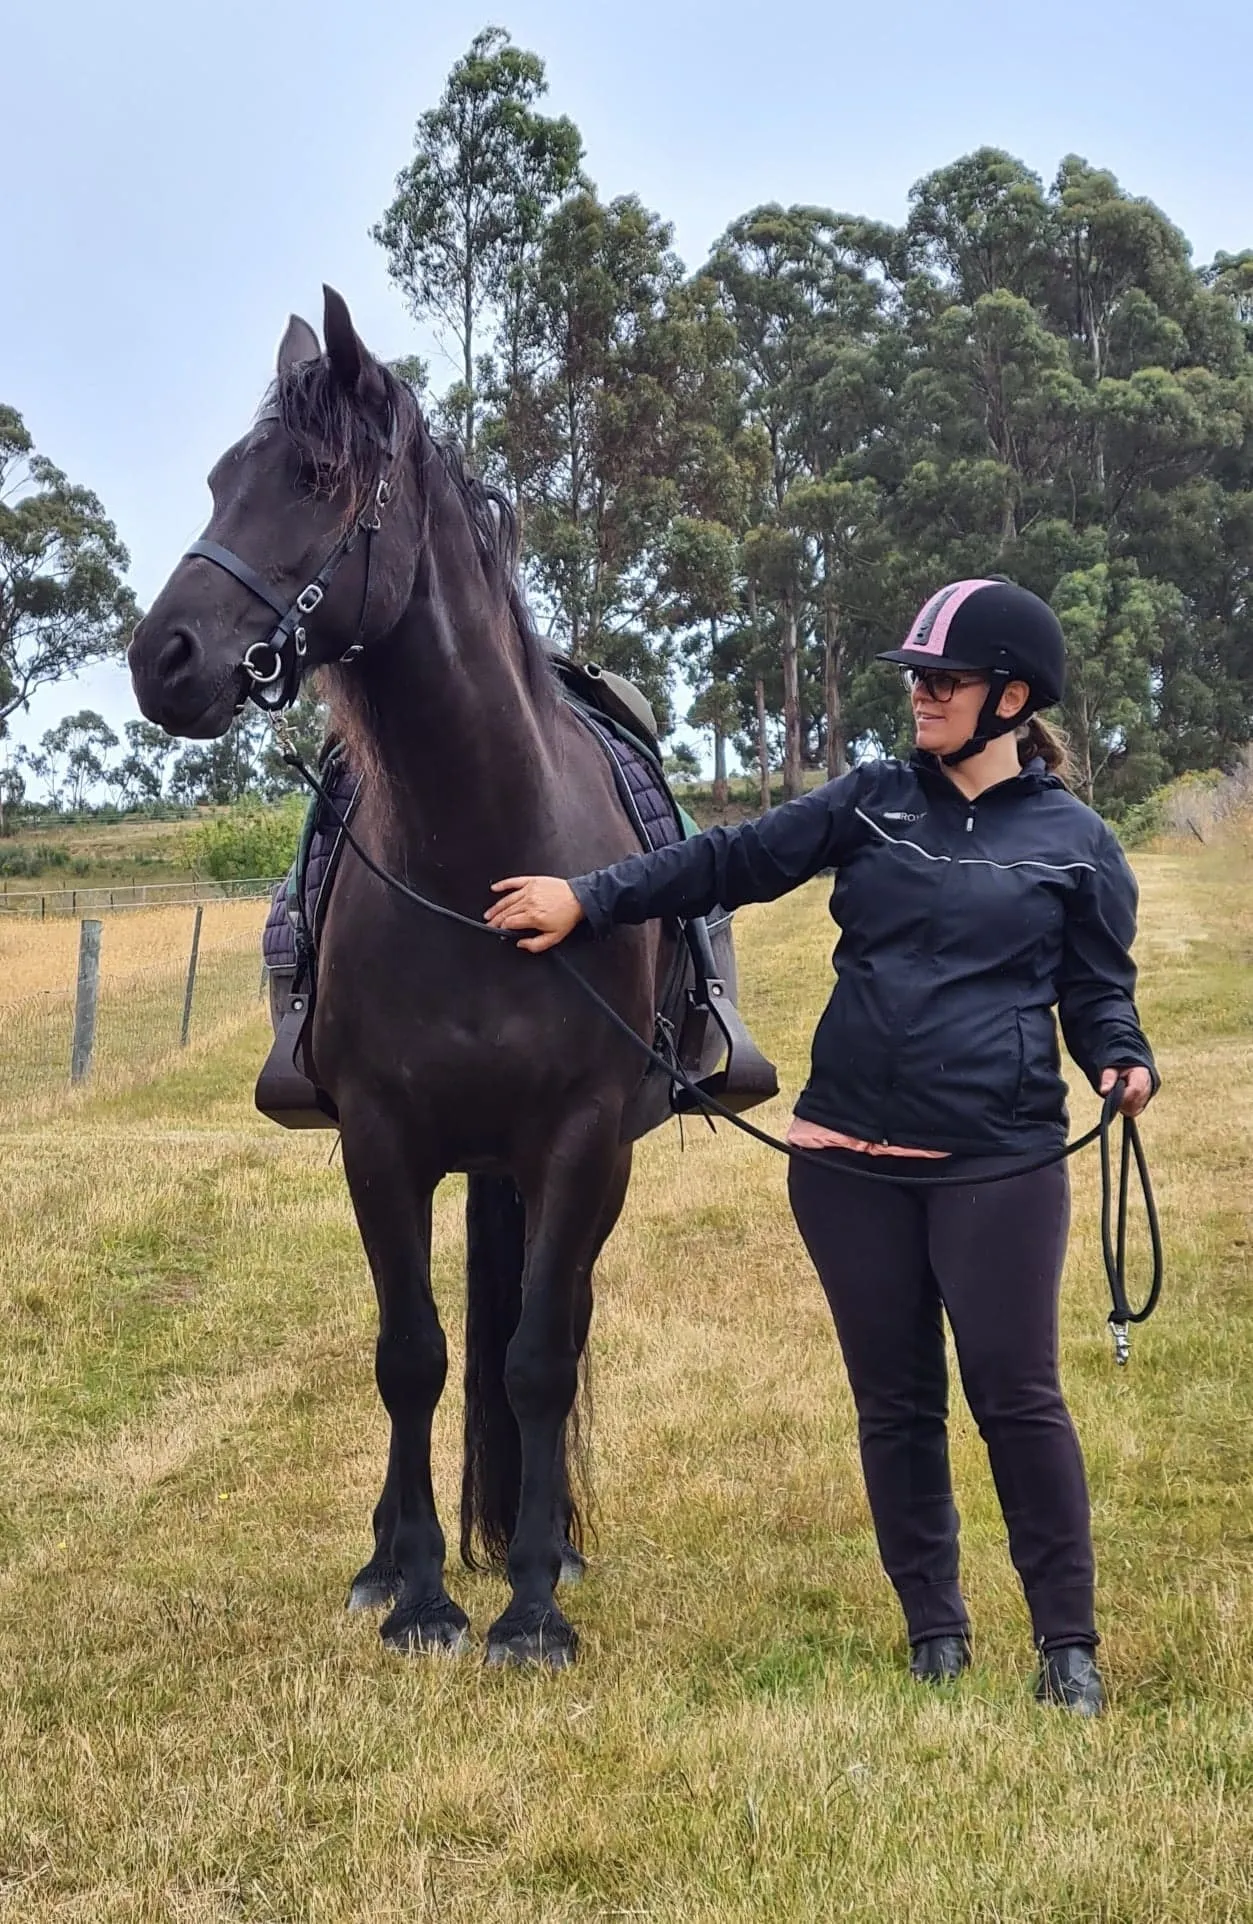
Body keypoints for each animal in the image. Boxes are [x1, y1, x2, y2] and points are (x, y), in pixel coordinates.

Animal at [128, 286, 710, 1667]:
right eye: (219, 477)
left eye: (315, 478)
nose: (161, 657)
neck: (483, 857)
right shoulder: (379, 1140)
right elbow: (411, 1356)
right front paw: (426, 1595)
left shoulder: (580, 1141)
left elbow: (537, 1359)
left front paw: (533, 1603)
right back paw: (389, 1556)